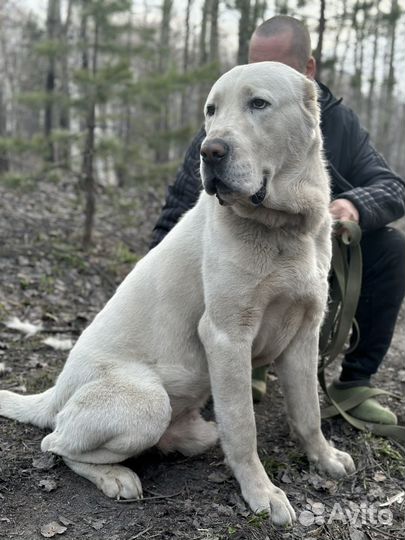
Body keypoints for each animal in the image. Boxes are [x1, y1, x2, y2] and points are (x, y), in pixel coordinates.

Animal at [0, 61, 354, 524]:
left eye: (258, 104)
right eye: (211, 110)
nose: (210, 151)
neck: (283, 228)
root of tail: (57, 389)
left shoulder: (305, 334)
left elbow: (309, 411)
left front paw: (324, 458)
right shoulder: (227, 336)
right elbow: (244, 428)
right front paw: (261, 492)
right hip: (148, 402)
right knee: (55, 442)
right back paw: (115, 477)